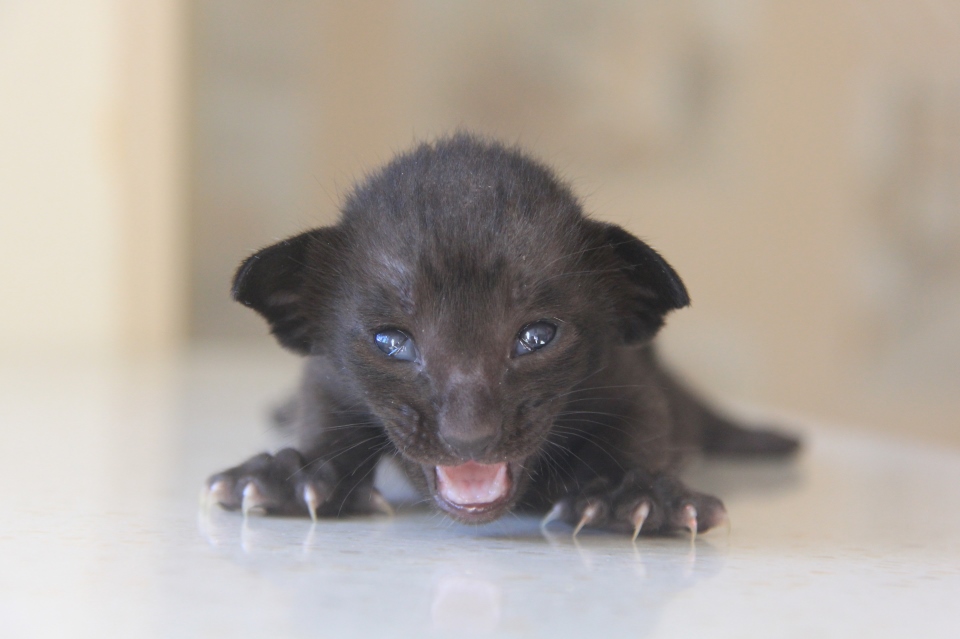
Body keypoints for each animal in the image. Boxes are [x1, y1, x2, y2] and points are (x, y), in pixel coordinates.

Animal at [206, 132, 800, 536]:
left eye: (536, 337)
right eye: (392, 342)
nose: (469, 437)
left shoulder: (629, 378)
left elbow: (640, 431)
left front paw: (634, 496)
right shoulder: (326, 375)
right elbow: (324, 420)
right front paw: (297, 475)